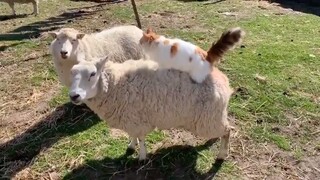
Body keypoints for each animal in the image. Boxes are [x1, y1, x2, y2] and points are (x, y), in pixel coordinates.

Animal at [67, 27, 242, 160]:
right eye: (72, 73)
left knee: (227, 131)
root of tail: (224, 81)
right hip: (213, 118)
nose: (74, 96)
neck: (116, 83)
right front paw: (131, 146)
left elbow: (141, 139)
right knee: (224, 130)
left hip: (207, 119)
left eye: (92, 74)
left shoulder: (138, 120)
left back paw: (222, 154)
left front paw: (142, 156)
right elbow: (133, 136)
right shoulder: (131, 119)